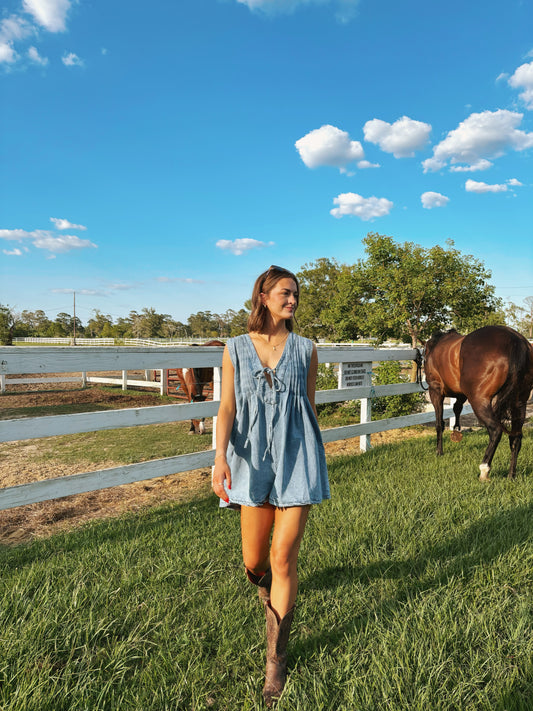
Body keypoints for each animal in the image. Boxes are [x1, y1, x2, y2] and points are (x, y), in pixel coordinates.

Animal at [424, 326, 532, 482]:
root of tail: (516, 341)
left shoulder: (435, 391)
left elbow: (439, 424)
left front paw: (439, 452)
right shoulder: (461, 395)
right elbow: (456, 408)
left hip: (479, 401)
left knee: (496, 430)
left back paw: (484, 469)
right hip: (519, 403)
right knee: (516, 437)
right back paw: (511, 475)